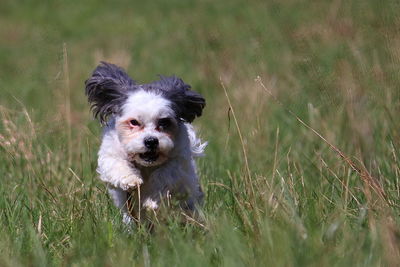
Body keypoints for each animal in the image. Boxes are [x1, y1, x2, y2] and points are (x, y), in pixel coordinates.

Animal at [86, 62, 208, 224]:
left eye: (164, 122)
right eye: (134, 122)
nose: (151, 141)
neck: (146, 165)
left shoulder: (179, 161)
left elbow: (166, 174)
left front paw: (152, 200)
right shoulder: (111, 152)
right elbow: (116, 165)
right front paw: (131, 180)